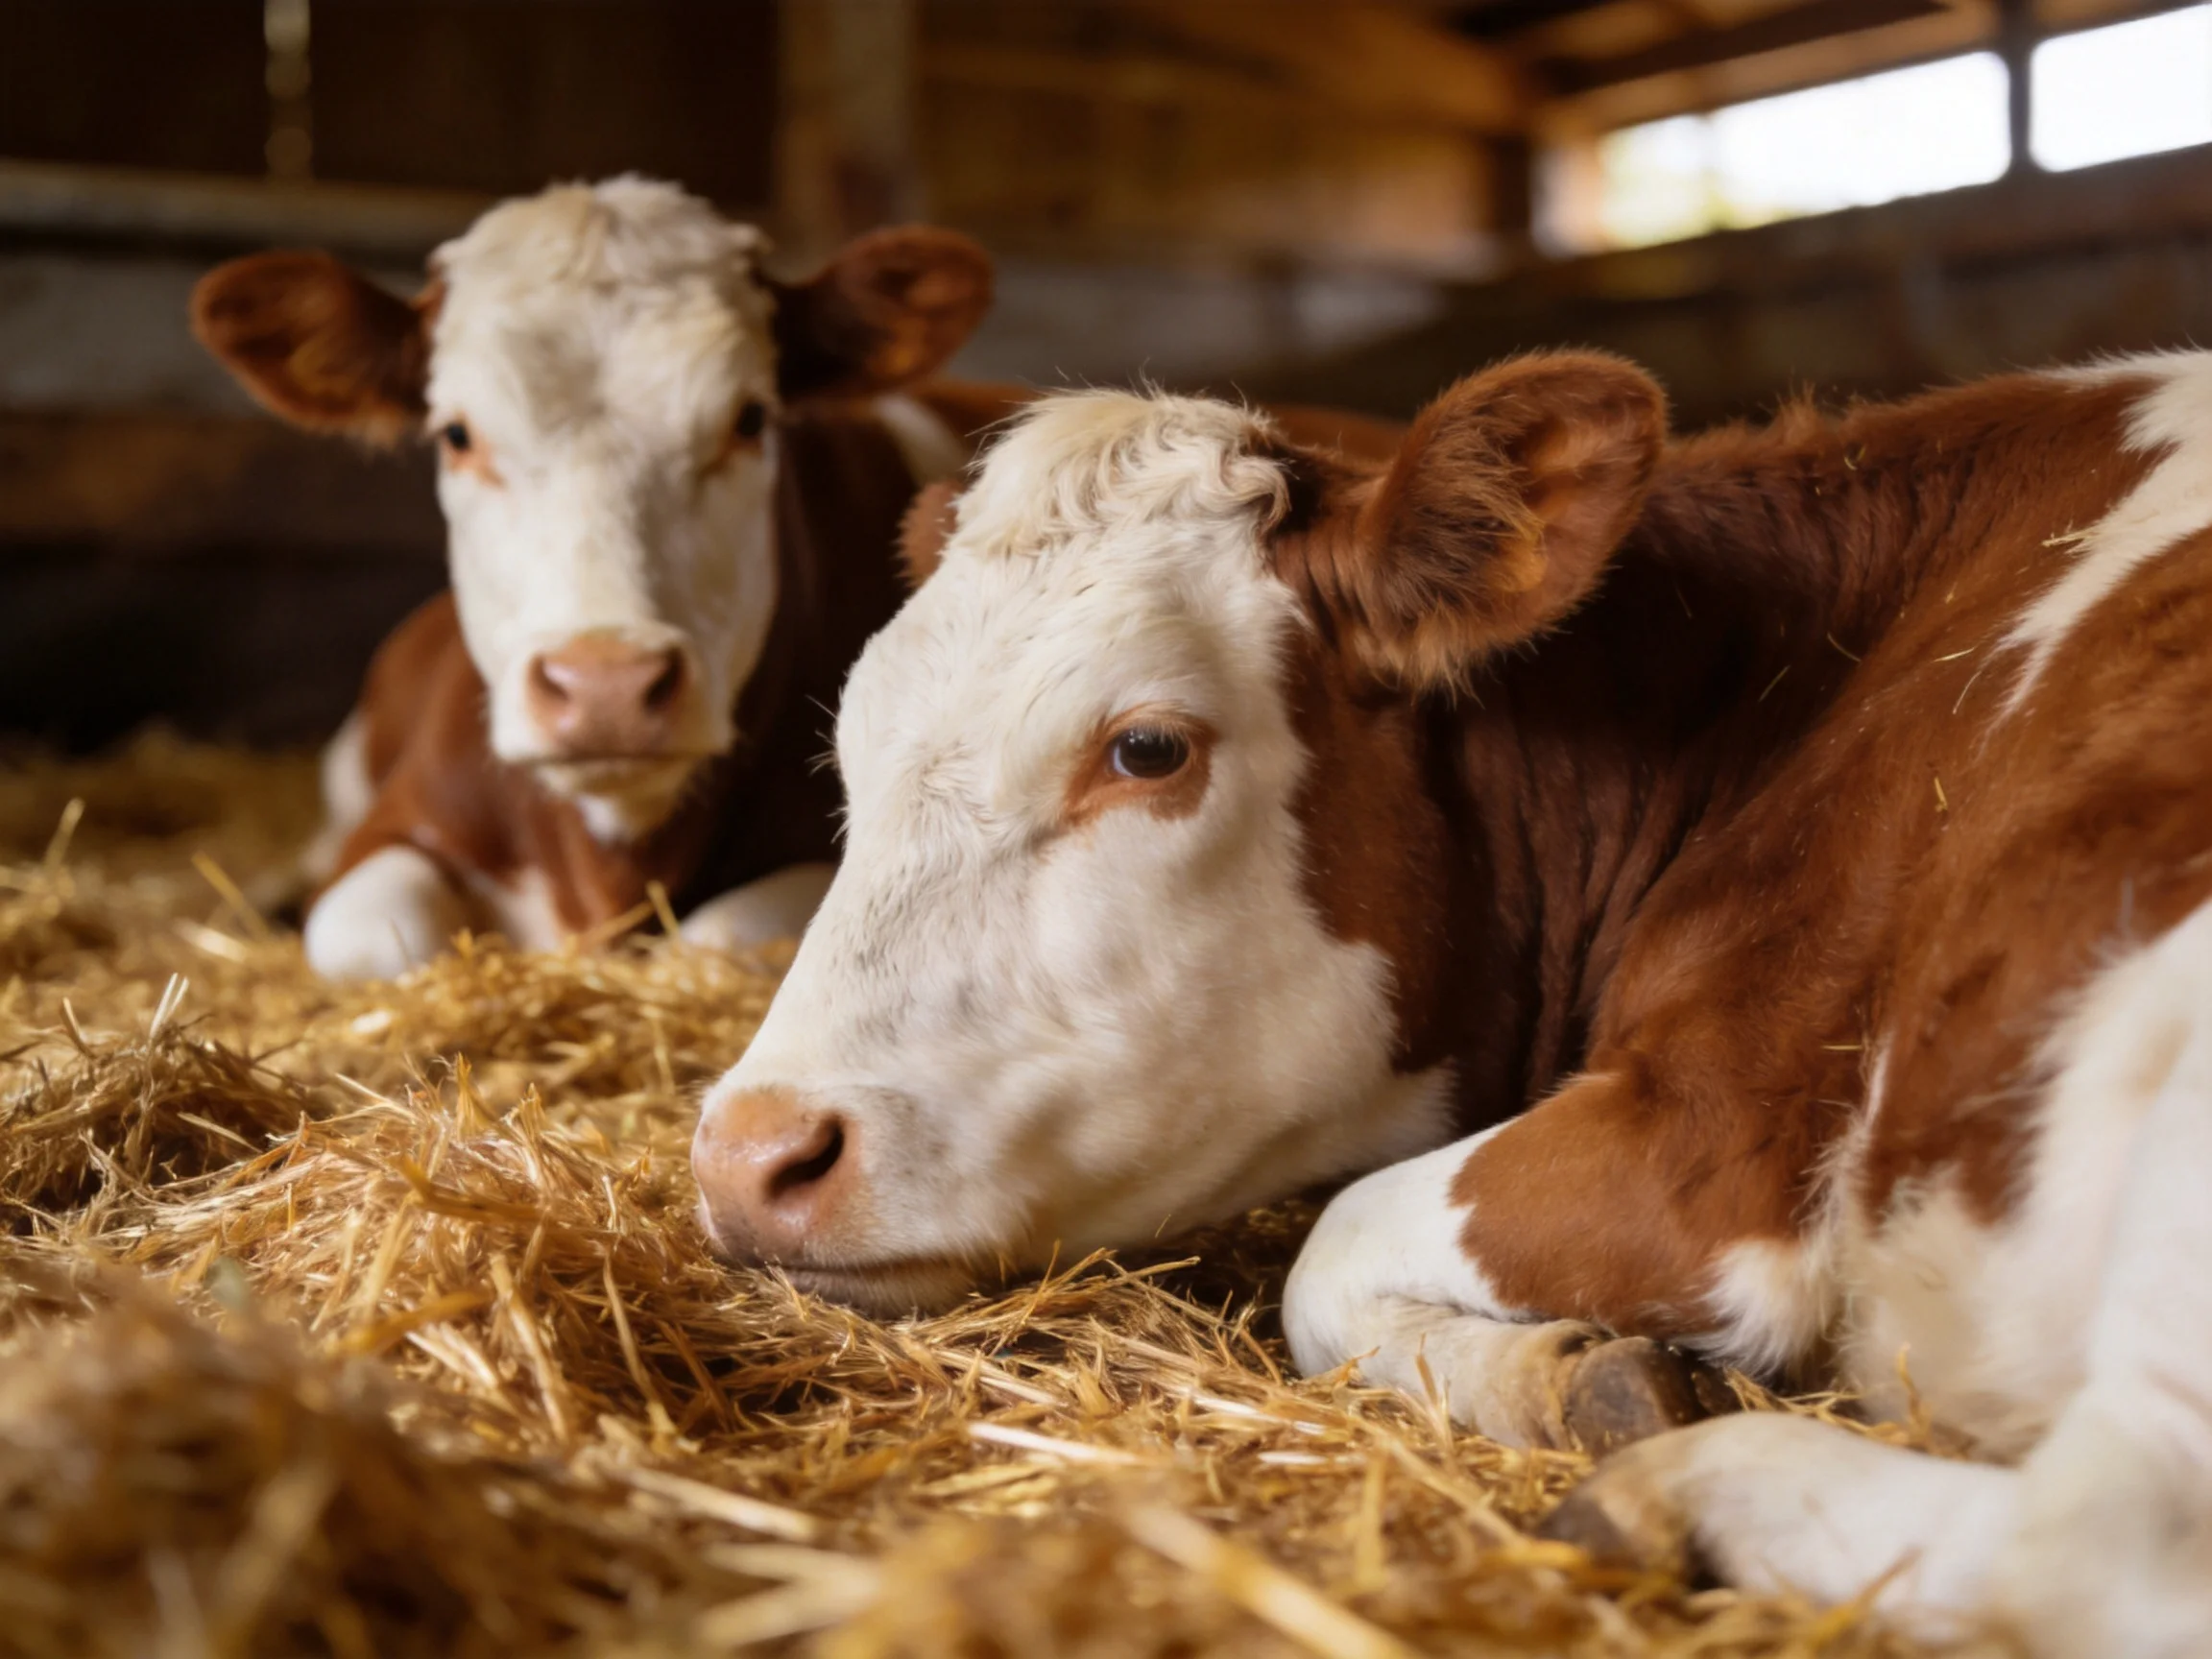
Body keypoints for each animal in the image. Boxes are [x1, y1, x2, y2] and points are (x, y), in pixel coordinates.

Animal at [191, 177, 1006, 979]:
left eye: (749, 419)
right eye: (456, 433)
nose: (605, 686)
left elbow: (712, 941)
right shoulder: (397, 823)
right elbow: (383, 939)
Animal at [691, 351, 2212, 1653]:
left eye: (1147, 748)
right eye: (849, 748)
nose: (749, 1156)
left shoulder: (1715, 1154)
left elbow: (1326, 1261)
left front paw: (1582, 1388)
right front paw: (1574, 1373)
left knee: (2092, 1547)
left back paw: (1679, 1487)